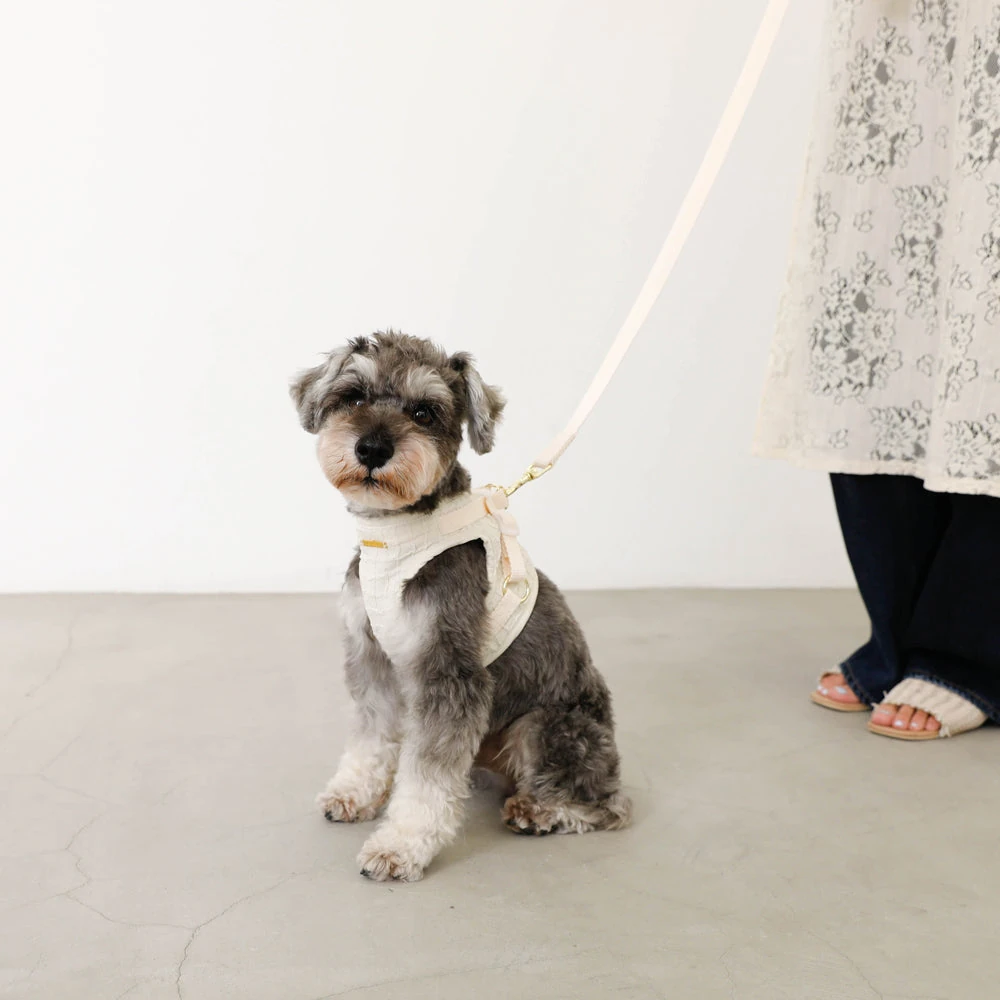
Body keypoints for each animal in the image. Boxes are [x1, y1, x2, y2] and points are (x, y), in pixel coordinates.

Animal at [290, 331, 631, 881]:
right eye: (354, 397)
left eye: (425, 412)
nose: (372, 448)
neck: (395, 533)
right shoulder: (372, 658)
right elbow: (371, 735)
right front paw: (355, 792)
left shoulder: (447, 670)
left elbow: (427, 776)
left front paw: (400, 845)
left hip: (548, 727)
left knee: (606, 803)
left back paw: (541, 810)